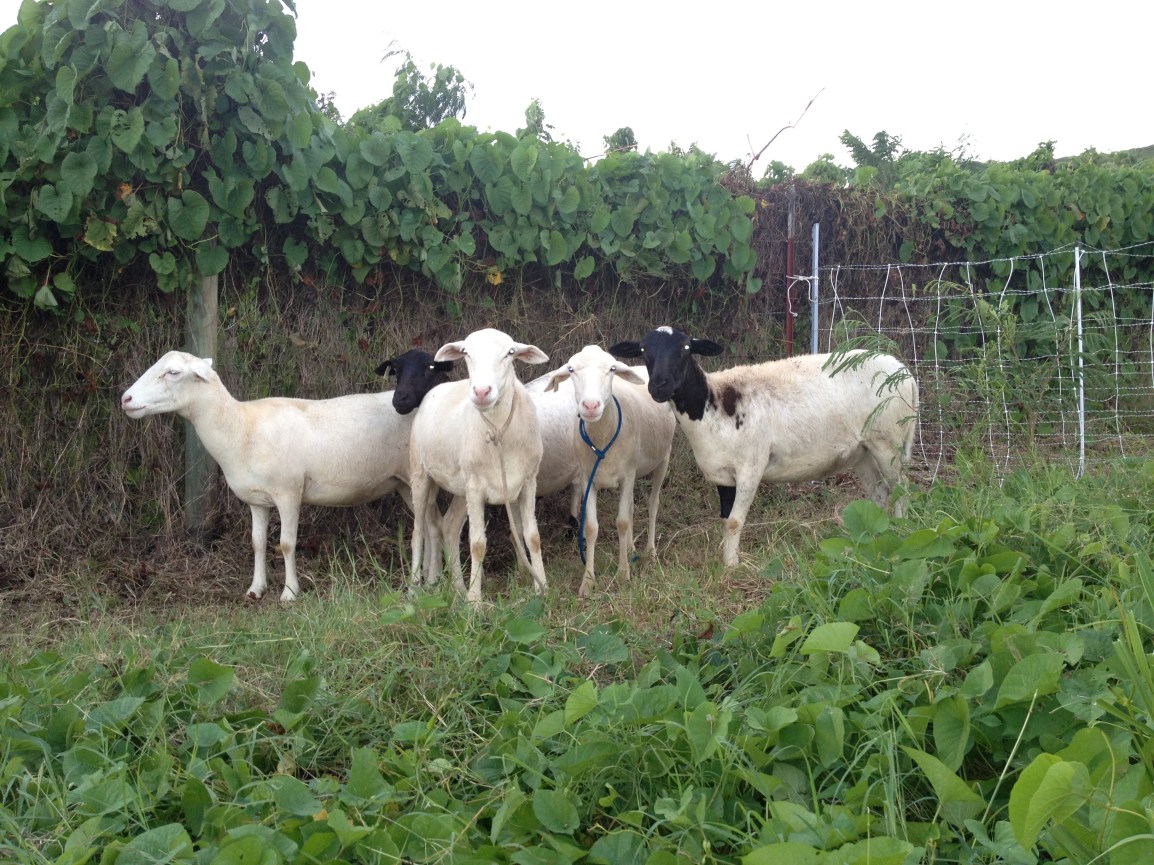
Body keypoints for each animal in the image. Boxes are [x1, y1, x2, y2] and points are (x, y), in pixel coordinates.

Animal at [120, 348, 452, 601]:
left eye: (173, 372)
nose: (125, 399)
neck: (241, 428)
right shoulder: (257, 500)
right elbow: (257, 542)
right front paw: (255, 589)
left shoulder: (288, 492)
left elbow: (286, 543)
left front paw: (290, 593)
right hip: (404, 484)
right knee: (433, 525)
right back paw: (432, 579)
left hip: (418, 478)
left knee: (430, 526)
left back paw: (425, 582)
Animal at [408, 328, 549, 605]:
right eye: (466, 353)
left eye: (510, 352)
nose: (482, 391)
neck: (499, 434)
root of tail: (436, 390)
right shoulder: (475, 489)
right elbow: (477, 544)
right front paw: (475, 602)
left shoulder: (528, 481)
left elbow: (532, 537)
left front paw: (543, 589)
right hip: (420, 473)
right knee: (418, 532)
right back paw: (414, 590)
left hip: (462, 487)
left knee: (449, 526)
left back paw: (458, 589)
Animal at [543, 345, 675, 598]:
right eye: (571, 369)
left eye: (612, 368)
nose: (591, 406)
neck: (603, 438)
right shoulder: (589, 479)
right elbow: (591, 527)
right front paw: (588, 581)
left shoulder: (627, 476)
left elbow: (621, 522)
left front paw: (623, 574)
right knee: (632, 507)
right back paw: (632, 548)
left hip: (663, 458)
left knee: (653, 504)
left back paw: (650, 552)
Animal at [609, 326, 919, 567]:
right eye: (643, 349)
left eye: (686, 348)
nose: (659, 386)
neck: (712, 403)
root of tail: (904, 370)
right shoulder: (723, 474)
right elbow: (726, 520)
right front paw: (727, 561)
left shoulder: (751, 467)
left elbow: (735, 521)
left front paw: (732, 566)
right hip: (862, 450)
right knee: (879, 493)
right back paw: (872, 536)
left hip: (888, 441)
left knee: (901, 491)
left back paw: (902, 532)